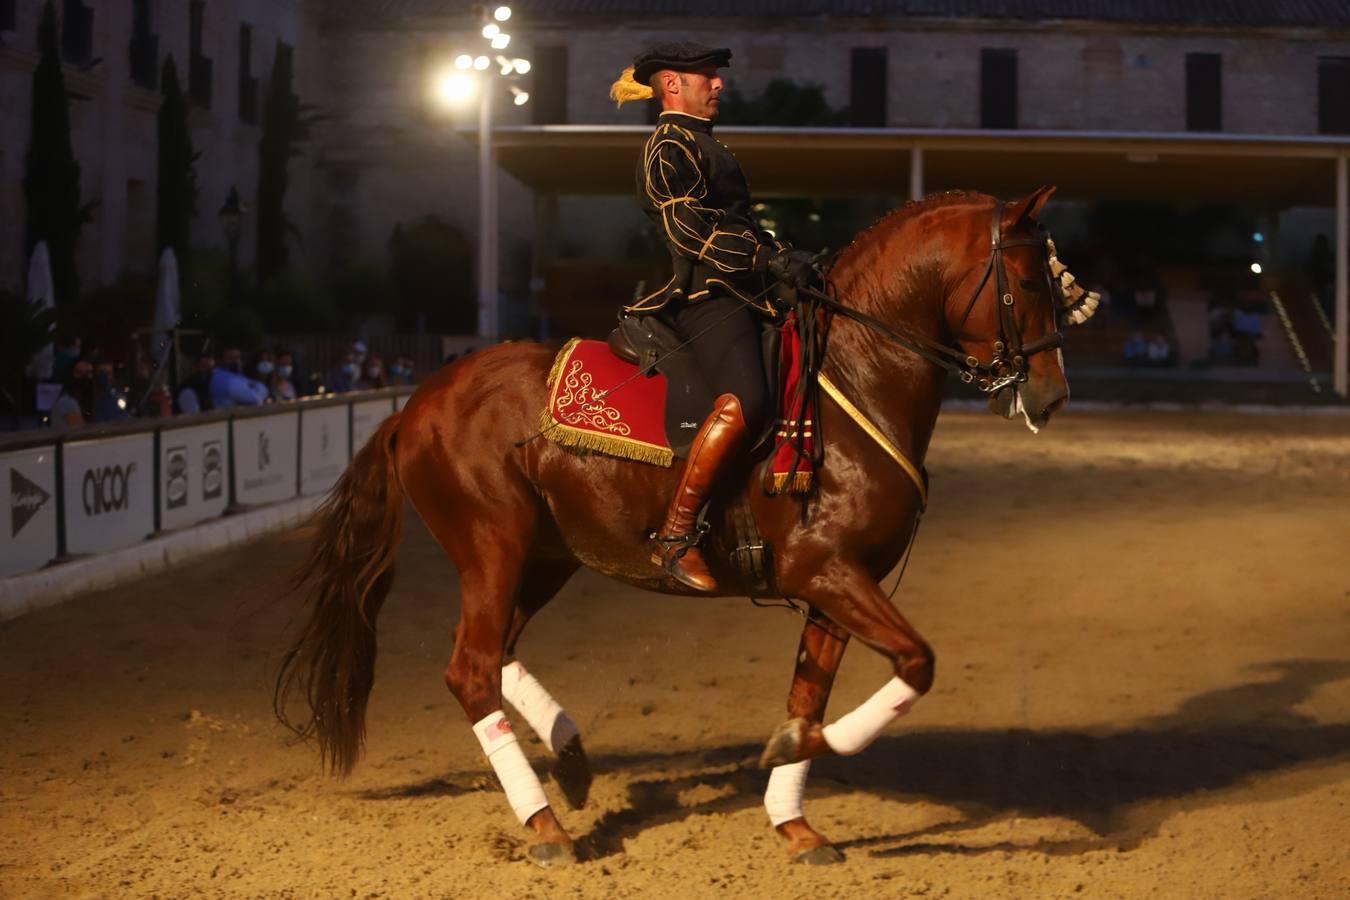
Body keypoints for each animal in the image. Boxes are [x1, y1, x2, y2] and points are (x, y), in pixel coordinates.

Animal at [276, 186, 1074, 868]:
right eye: (1029, 282)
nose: (1051, 394)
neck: (854, 378)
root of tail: (415, 404)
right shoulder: (823, 570)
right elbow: (917, 663)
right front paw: (801, 751)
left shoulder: (839, 587)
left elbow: (810, 694)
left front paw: (794, 812)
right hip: (492, 547)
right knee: (471, 669)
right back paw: (546, 825)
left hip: (545, 556)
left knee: (497, 653)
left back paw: (570, 756)